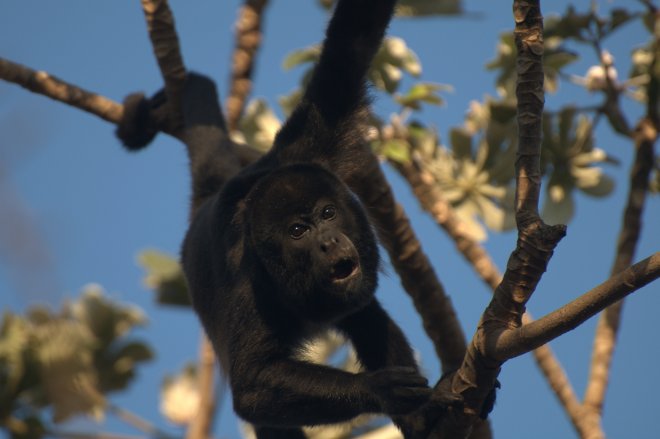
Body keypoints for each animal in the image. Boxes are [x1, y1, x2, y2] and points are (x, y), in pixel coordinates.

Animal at [117, 0, 458, 436]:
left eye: (328, 213)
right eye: (298, 231)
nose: (328, 241)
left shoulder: (310, 149)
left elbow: (350, 46)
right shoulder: (249, 282)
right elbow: (251, 387)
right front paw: (380, 389)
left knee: (366, 315)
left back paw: (422, 419)